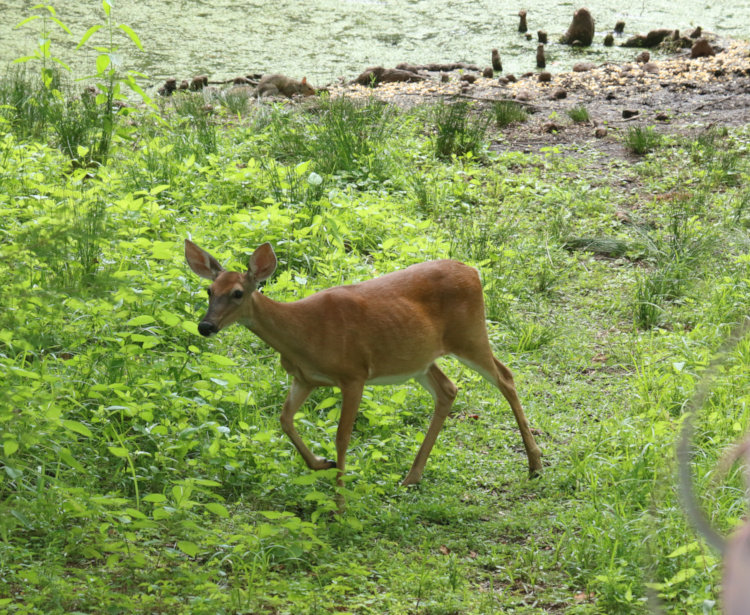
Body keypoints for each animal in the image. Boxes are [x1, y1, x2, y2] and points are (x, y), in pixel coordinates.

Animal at [185, 239, 543, 509]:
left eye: (238, 293)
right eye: (208, 291)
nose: (205, 326)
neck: (303, 334)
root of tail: (473, 271)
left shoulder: (353, 374)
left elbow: (342, 437)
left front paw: (340, 504)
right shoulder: (305, 378)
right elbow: (285, 420)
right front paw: (322, 464)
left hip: (469, 334)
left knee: (505, 377)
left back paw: (535, 465)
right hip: (421, 359)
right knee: (449, 389)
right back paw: (412, 477)